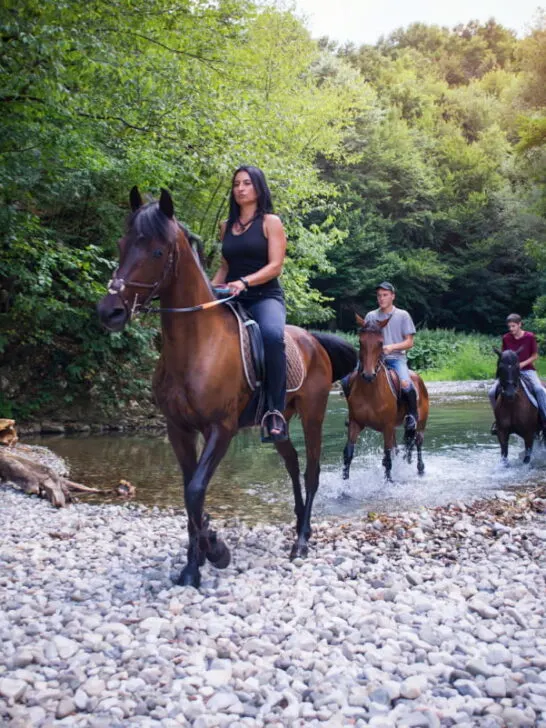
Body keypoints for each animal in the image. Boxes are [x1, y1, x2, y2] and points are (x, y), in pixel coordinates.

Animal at [95, 188, 354, 584]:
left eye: (157, 252)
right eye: (122, 244)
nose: (110, 311)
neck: (196, 344)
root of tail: (313, 341)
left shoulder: (222, 428)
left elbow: (195, 490)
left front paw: (216, 552)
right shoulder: (179, 428)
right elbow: (190, 494)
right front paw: (193, 563)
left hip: (313, 416)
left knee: (311, 471)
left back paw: (301, 541)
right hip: (278, 423)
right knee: (292, 463)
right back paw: (298, 525)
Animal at [342, 314, 428, 480]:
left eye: (381, 343)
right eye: (360, 341)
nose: (368, 375)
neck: (369, 392)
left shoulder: (387, 426)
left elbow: (387, 457)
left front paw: (389, 481)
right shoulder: (355, 423)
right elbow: (348, 453)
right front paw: (344, 482)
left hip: (420, 423)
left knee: (418, 442)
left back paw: (420, 469)